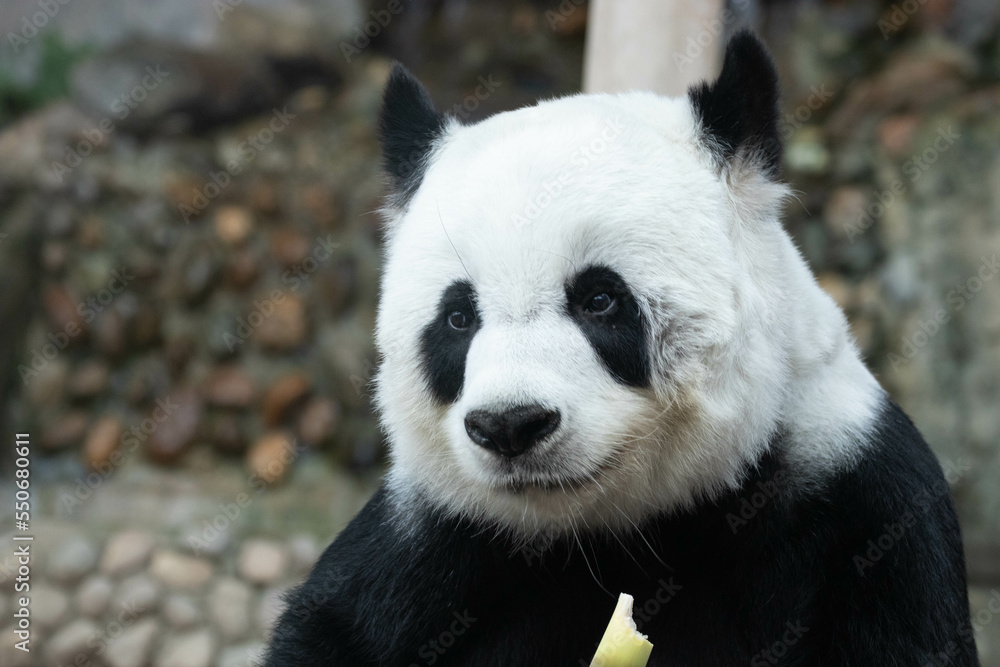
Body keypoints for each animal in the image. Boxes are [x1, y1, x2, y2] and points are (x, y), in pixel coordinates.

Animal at [265, 31, 976, 666]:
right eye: (459, 318)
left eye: (600, 299)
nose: (510, 425)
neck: (621, 529)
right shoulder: (436, 541)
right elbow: (335, 628)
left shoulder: (856, 503)